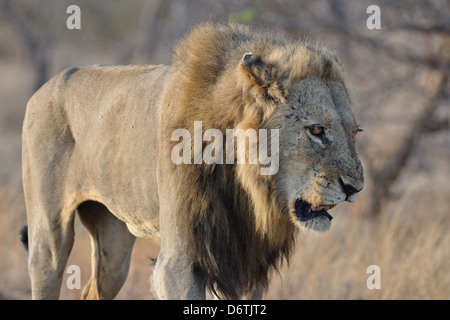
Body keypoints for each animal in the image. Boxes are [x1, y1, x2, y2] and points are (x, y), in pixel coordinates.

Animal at [22, 23, 364, 300]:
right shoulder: (178, 263)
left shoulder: (244, 262)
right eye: (316, 130)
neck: (245, 184)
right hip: (49, 239)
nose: (355, 189)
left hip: (113, 244)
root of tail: (45, 87)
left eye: (355, 132)